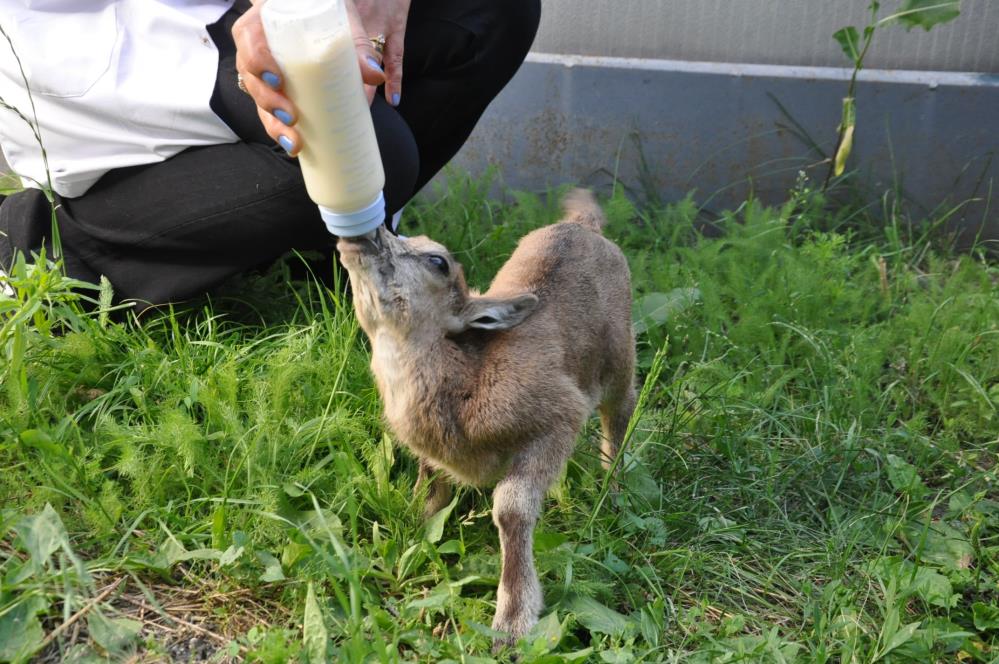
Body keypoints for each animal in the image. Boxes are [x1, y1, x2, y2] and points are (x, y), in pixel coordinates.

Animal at [336, 189, 632, 644]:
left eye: (437, 261)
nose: (362, 238)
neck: (467, 379)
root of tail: (583, 225)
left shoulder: (557, 418)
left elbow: (511, 509)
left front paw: (512, 622)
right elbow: (428, 492)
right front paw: (415, 534)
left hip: (620, 358)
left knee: (619, 415)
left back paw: (613, 493)